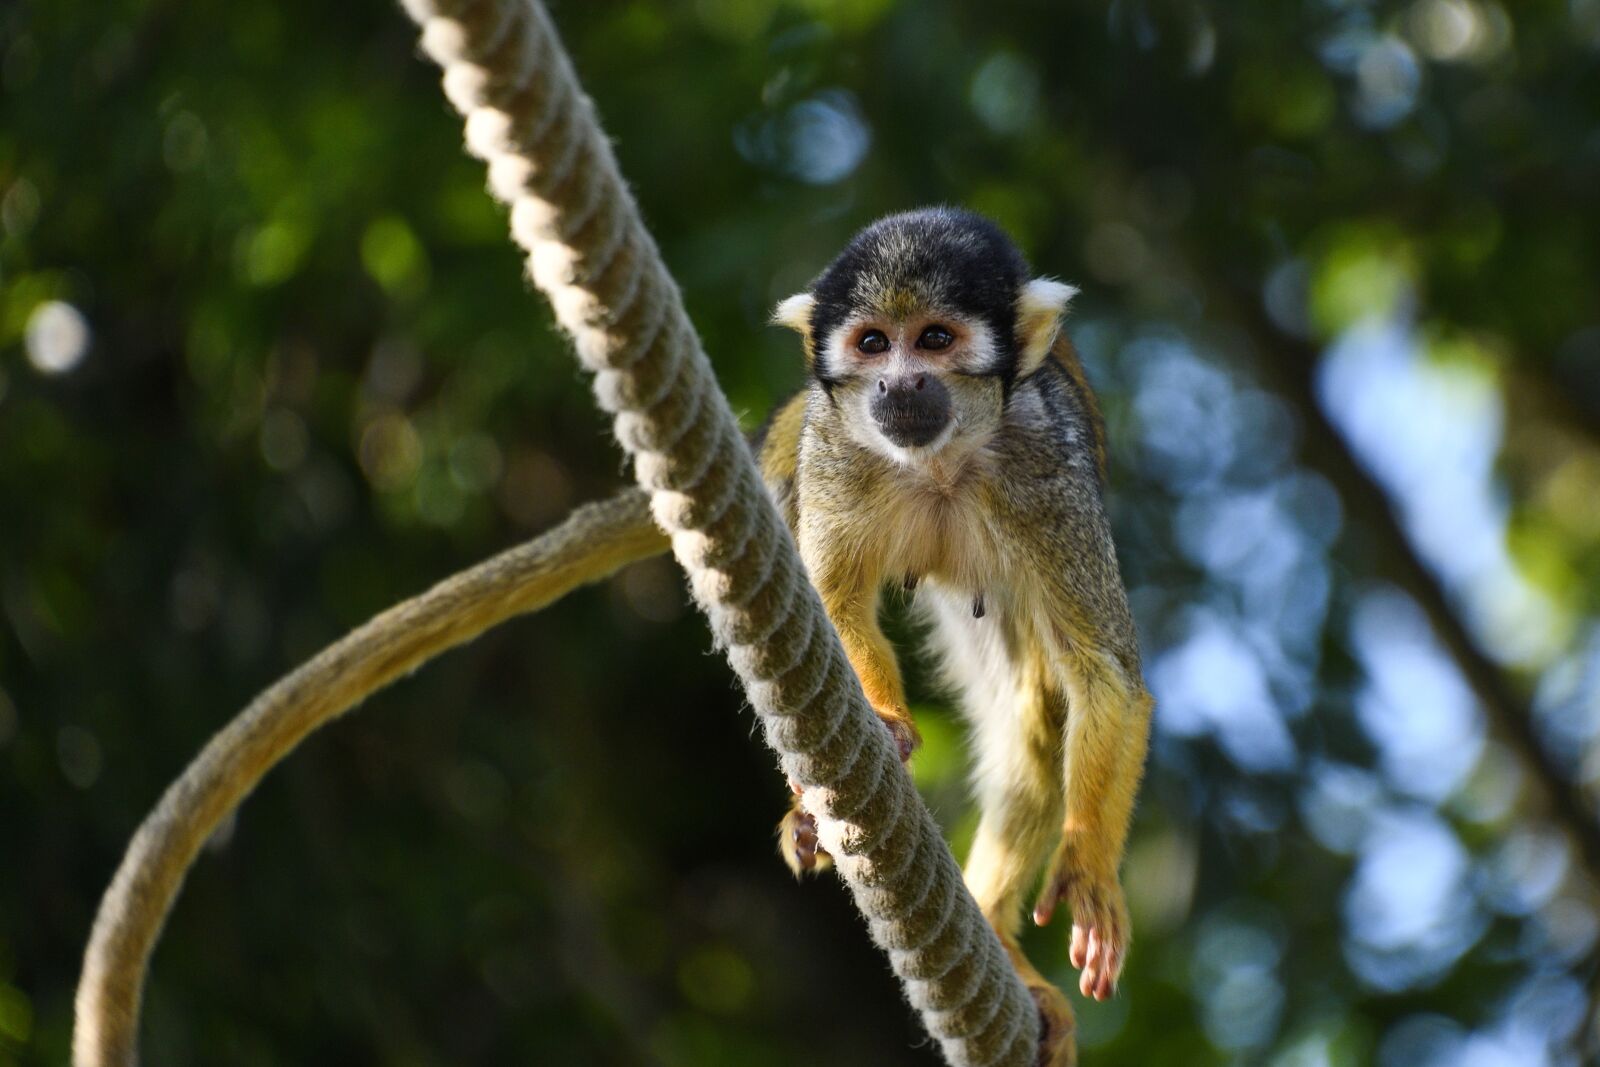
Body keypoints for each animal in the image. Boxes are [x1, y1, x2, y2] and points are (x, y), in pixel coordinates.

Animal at [756, 207, 1153, 1056]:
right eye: (873, 342)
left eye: (935, 339)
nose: (900, 382)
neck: (936, 461)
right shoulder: (834, 448)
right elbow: (834, 606)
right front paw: (888, 725)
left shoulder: (1044, 463)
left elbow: (1106, 671)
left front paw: (1088, 867)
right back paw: (811, 810)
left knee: (1039, 706)